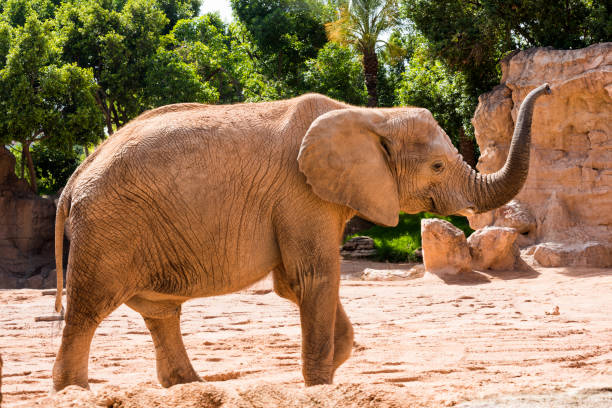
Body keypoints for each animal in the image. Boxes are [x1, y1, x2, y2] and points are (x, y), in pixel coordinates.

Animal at [52, 82, 548, 388]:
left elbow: (294, 285)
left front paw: (332, 363)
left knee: (159, 312)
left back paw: (191, 388)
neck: (369, 115)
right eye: (438, 166)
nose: (545, 89)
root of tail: (72, 183)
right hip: (108, 228)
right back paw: (75, 391)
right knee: (88, 311)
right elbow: (313, 279)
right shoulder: (301, 194)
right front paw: (320, 384)